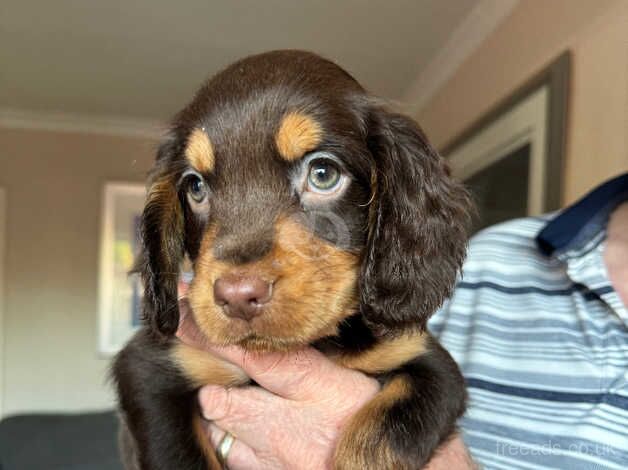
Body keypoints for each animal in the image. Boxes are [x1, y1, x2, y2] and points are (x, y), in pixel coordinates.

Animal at [113, 50, 474, 470]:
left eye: (323, 173)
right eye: (195, 187)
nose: (237, 296)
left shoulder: (423, 359)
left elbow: (385, 434)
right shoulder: (150, 370)